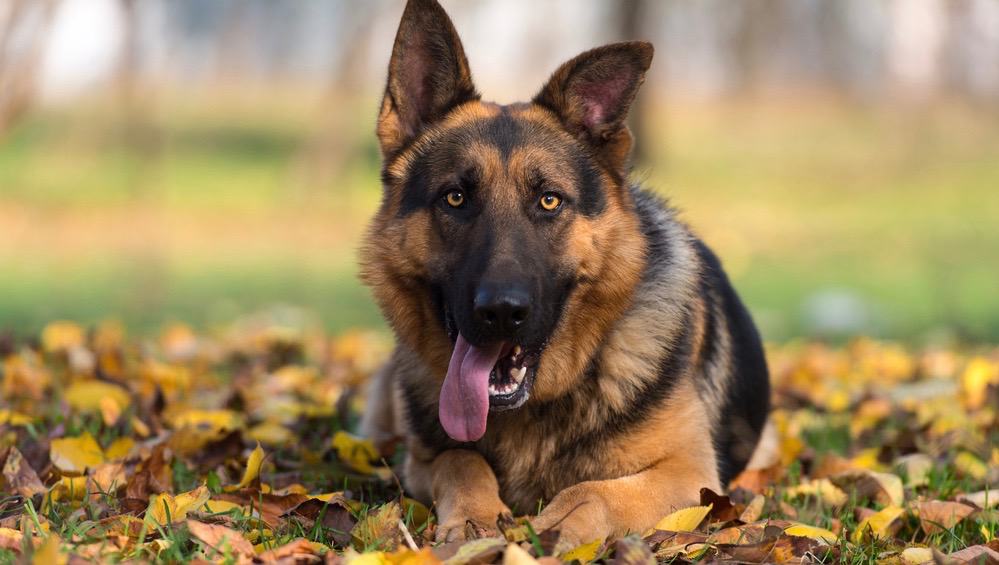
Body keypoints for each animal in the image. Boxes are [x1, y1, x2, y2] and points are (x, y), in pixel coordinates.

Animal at [362, 0, 772, 548]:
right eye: (455, 197)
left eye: (550, 201)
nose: (501, 312)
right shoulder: (425, 457)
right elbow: (461, 459)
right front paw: (474, 521)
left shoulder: (690, 474)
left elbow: (592, 491)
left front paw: (553, 528)